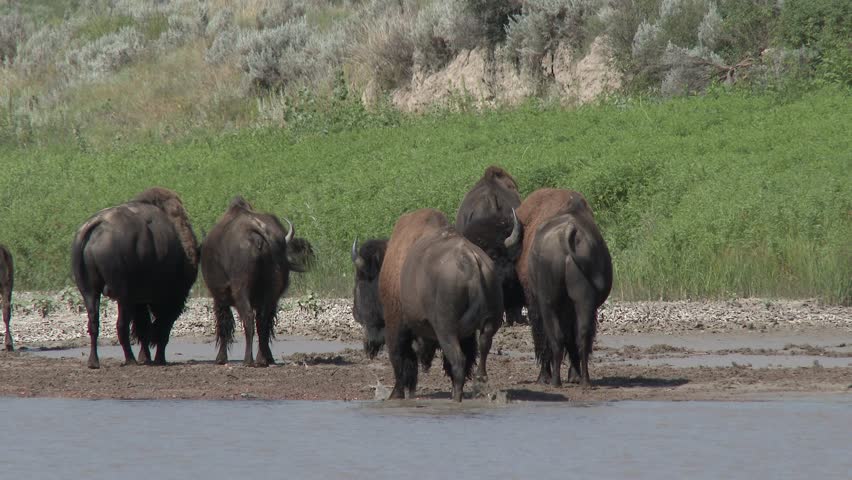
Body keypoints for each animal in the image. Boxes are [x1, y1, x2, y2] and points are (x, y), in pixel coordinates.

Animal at [71, 187, 199, 369]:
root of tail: (97, 225)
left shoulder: (140, 300)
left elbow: (143, 328)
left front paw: (146, 357)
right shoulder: (170, 299)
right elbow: (159, 328)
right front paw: (157, 358)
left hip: (90, 292)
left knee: (94, 323)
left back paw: (94, 362)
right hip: (123, 296)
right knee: (122, 326)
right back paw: (130, 359)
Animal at [201, 196, 314, 367]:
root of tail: (258, 233)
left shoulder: (219, 297)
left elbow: (224, 325)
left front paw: (220, 358)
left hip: (241, 291)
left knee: (249, 319)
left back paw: (248, 360)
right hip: (271, 294)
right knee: (263, 320)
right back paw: (262, 359)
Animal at [516, 188, 612, 387]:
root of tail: (570, 231)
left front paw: (543, 376)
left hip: (548, 304)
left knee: (555, 337)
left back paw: (553, 380)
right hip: (584, 301)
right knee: (582, 336)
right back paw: (583, 380)